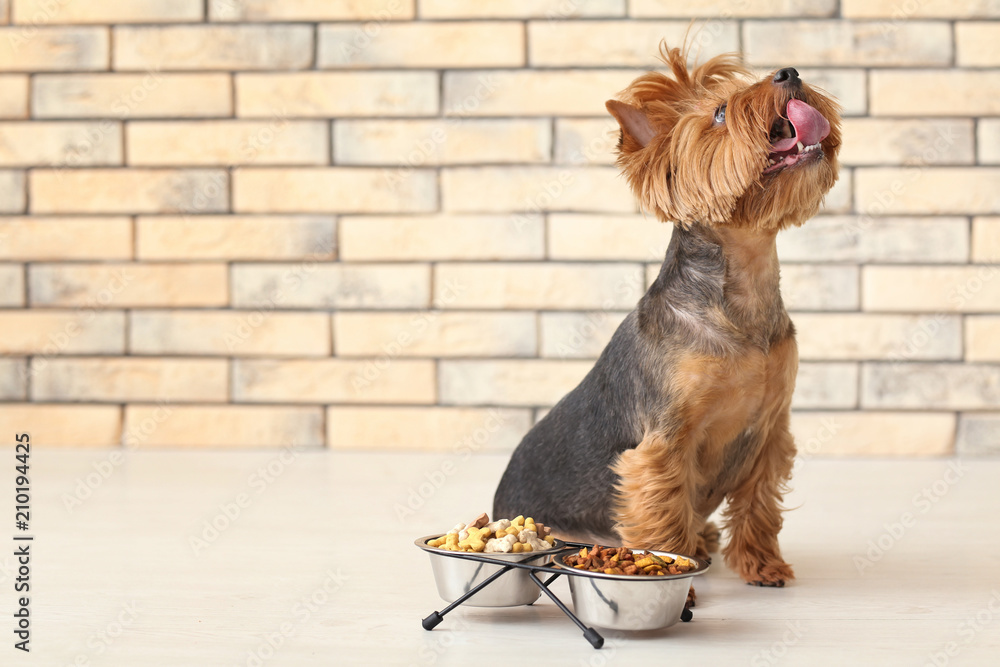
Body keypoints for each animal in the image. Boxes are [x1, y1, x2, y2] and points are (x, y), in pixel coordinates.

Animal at [492, 44, 836, 588]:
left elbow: (759, 505)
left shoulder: (770, 431)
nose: (789, 73)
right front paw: (674, 572)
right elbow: (663, 514)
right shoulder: (665, 444)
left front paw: (763, 566)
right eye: (720, 113)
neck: (741, 296)